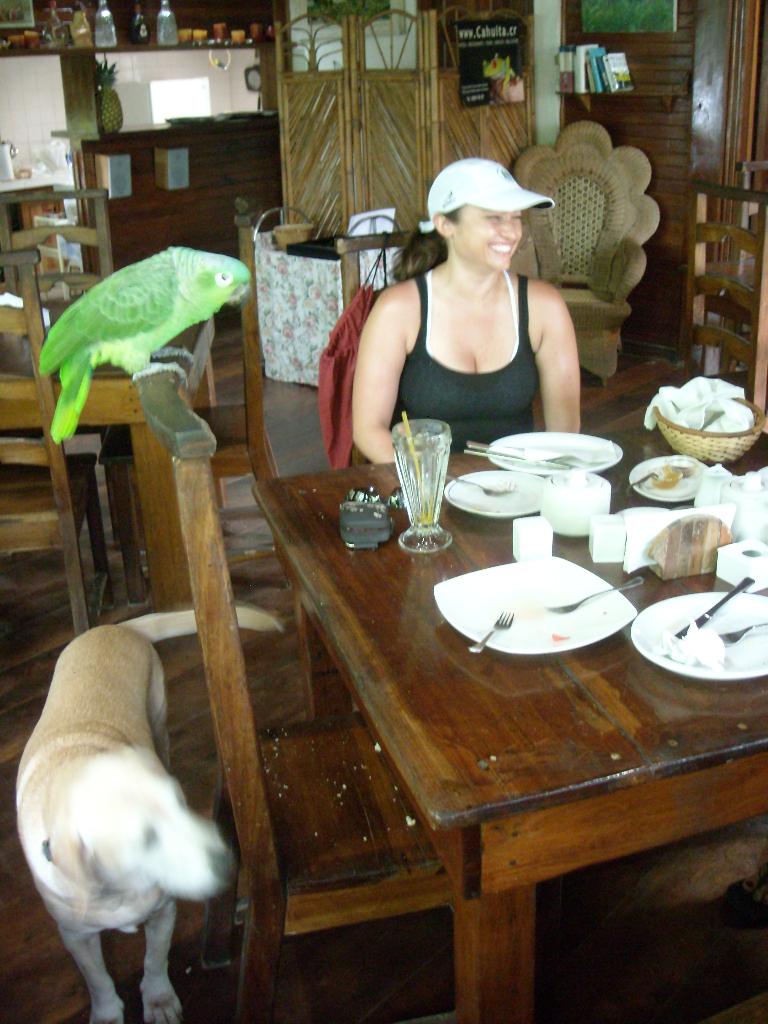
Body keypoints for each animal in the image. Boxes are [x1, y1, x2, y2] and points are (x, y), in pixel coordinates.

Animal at [16, 606, 280, 1024]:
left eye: (180, 804)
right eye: (146, 837)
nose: (229, 865)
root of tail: (115, 628)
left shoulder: (164, 911)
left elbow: (155, 960)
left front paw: (158, 1000)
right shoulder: (75, 934)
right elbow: (98, 979)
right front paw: (107, 1013)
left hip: (157, 717)